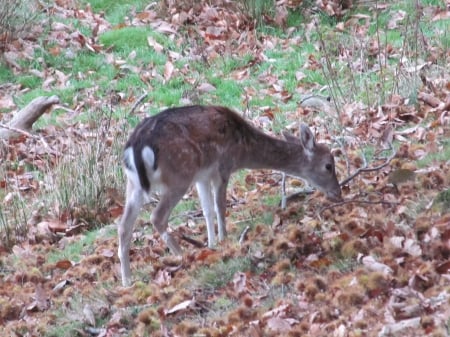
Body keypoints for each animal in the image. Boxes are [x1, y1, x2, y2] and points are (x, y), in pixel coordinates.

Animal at [116, 104, 342, 284]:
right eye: (328, 165)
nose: (338, 193)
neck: (242, 148)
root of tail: (136, 147)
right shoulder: (223, 166)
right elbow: (220, 206)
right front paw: (224, 242)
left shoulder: (202, 176)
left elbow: (207, 210)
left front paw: (212, 244)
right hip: (179, 175)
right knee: (157, 216)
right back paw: (182, 256)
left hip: (133, 184)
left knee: (124, 225)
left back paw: (127, 280)